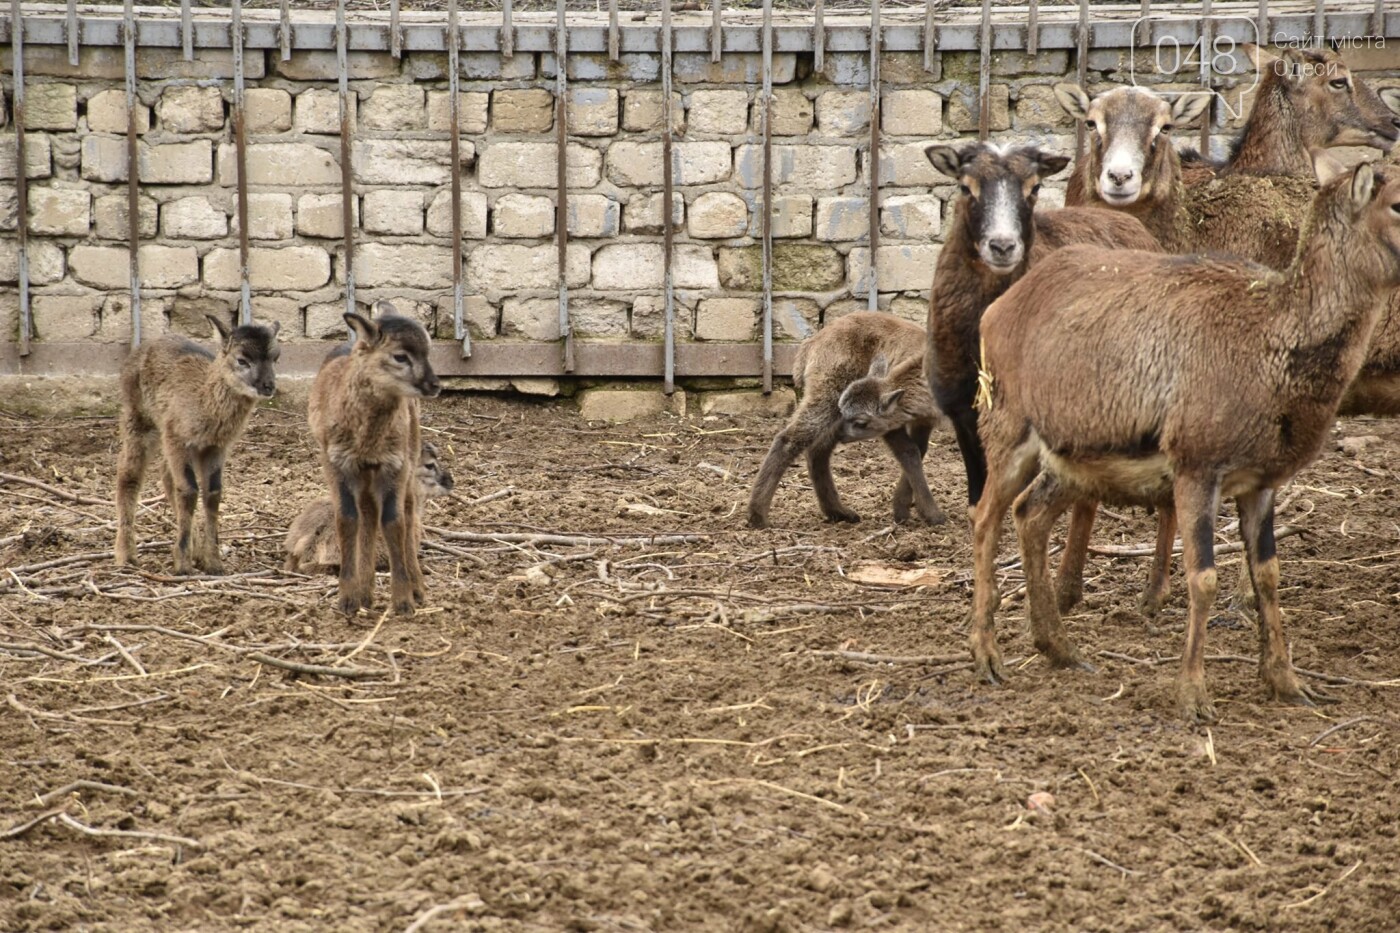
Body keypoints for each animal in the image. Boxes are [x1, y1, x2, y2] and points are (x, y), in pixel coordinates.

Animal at [116, 316, 280, 571]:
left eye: (275, 358)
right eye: (242, 360)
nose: (268, 386)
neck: (204, 401)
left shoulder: (216, 446)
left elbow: (213, 493)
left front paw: (213, 562)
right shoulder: (176, 436)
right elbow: (189, 490)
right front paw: (183, 565)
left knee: (166, 475)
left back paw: (196, 550)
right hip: (138, 416)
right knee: (128, 475)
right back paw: (126, 556)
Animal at [312, 301, 442, 613]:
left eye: (428, 351)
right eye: (400, 356)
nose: (434, 384)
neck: (367, 440)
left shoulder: (394, 464)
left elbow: (395, 522)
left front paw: (404, 600)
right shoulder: (336, 462)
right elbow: (347, 519)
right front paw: (347, 599)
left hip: (409, 450)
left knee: (408, 513)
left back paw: (416, 587)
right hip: (364, 473)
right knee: (368, 516)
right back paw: (365, 592)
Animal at [750, 311, 946, 526]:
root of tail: (813, 341)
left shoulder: (921, 420)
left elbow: (919, 450)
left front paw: (904, 510)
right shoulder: (891, 420)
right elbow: (909, 452)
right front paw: (930, 515)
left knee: (817, 450)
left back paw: (839, 512)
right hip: (828, 394)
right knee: (789, 440)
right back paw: (757, 516)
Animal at [968, 165, 1400, 717]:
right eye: (1397, 203)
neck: (1272, 348)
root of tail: (995, 311)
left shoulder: (1262, 481)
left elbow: (1268, 575)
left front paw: (1287, 682)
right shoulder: (1197, 463)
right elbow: (1203, 577)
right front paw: (1193, 694)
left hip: (1075, 457)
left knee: (1030, 513)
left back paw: (1061, 649)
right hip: (1006, 425)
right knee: (985, 518)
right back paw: (987, 655)